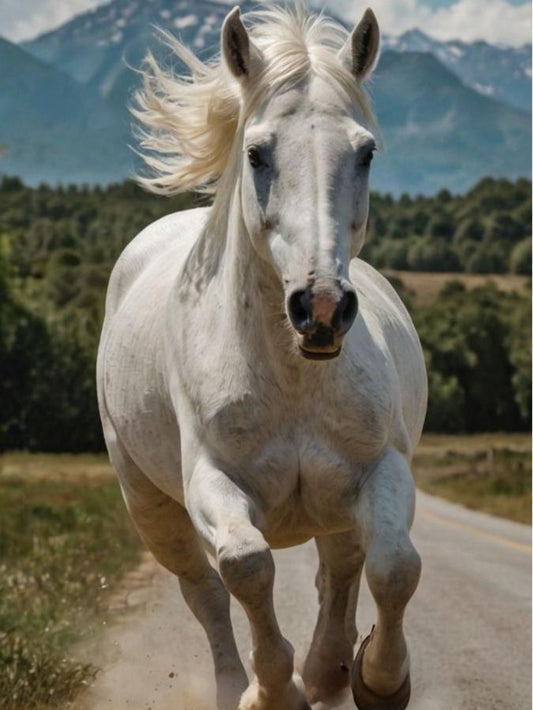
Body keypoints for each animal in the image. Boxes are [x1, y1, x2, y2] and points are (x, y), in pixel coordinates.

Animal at [97, 5, 427, 709]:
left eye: (365, 152)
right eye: (256, 153)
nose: (321, 307)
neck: (295, 377)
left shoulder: (381, 469)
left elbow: (393, 567)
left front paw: (379, 679)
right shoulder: (212, 481)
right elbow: (246, 567)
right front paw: (274, 691)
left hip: (335, 504)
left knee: (342, 568)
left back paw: (331, 668)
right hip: (151, 506)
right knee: (204, 593)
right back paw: (240, 686)